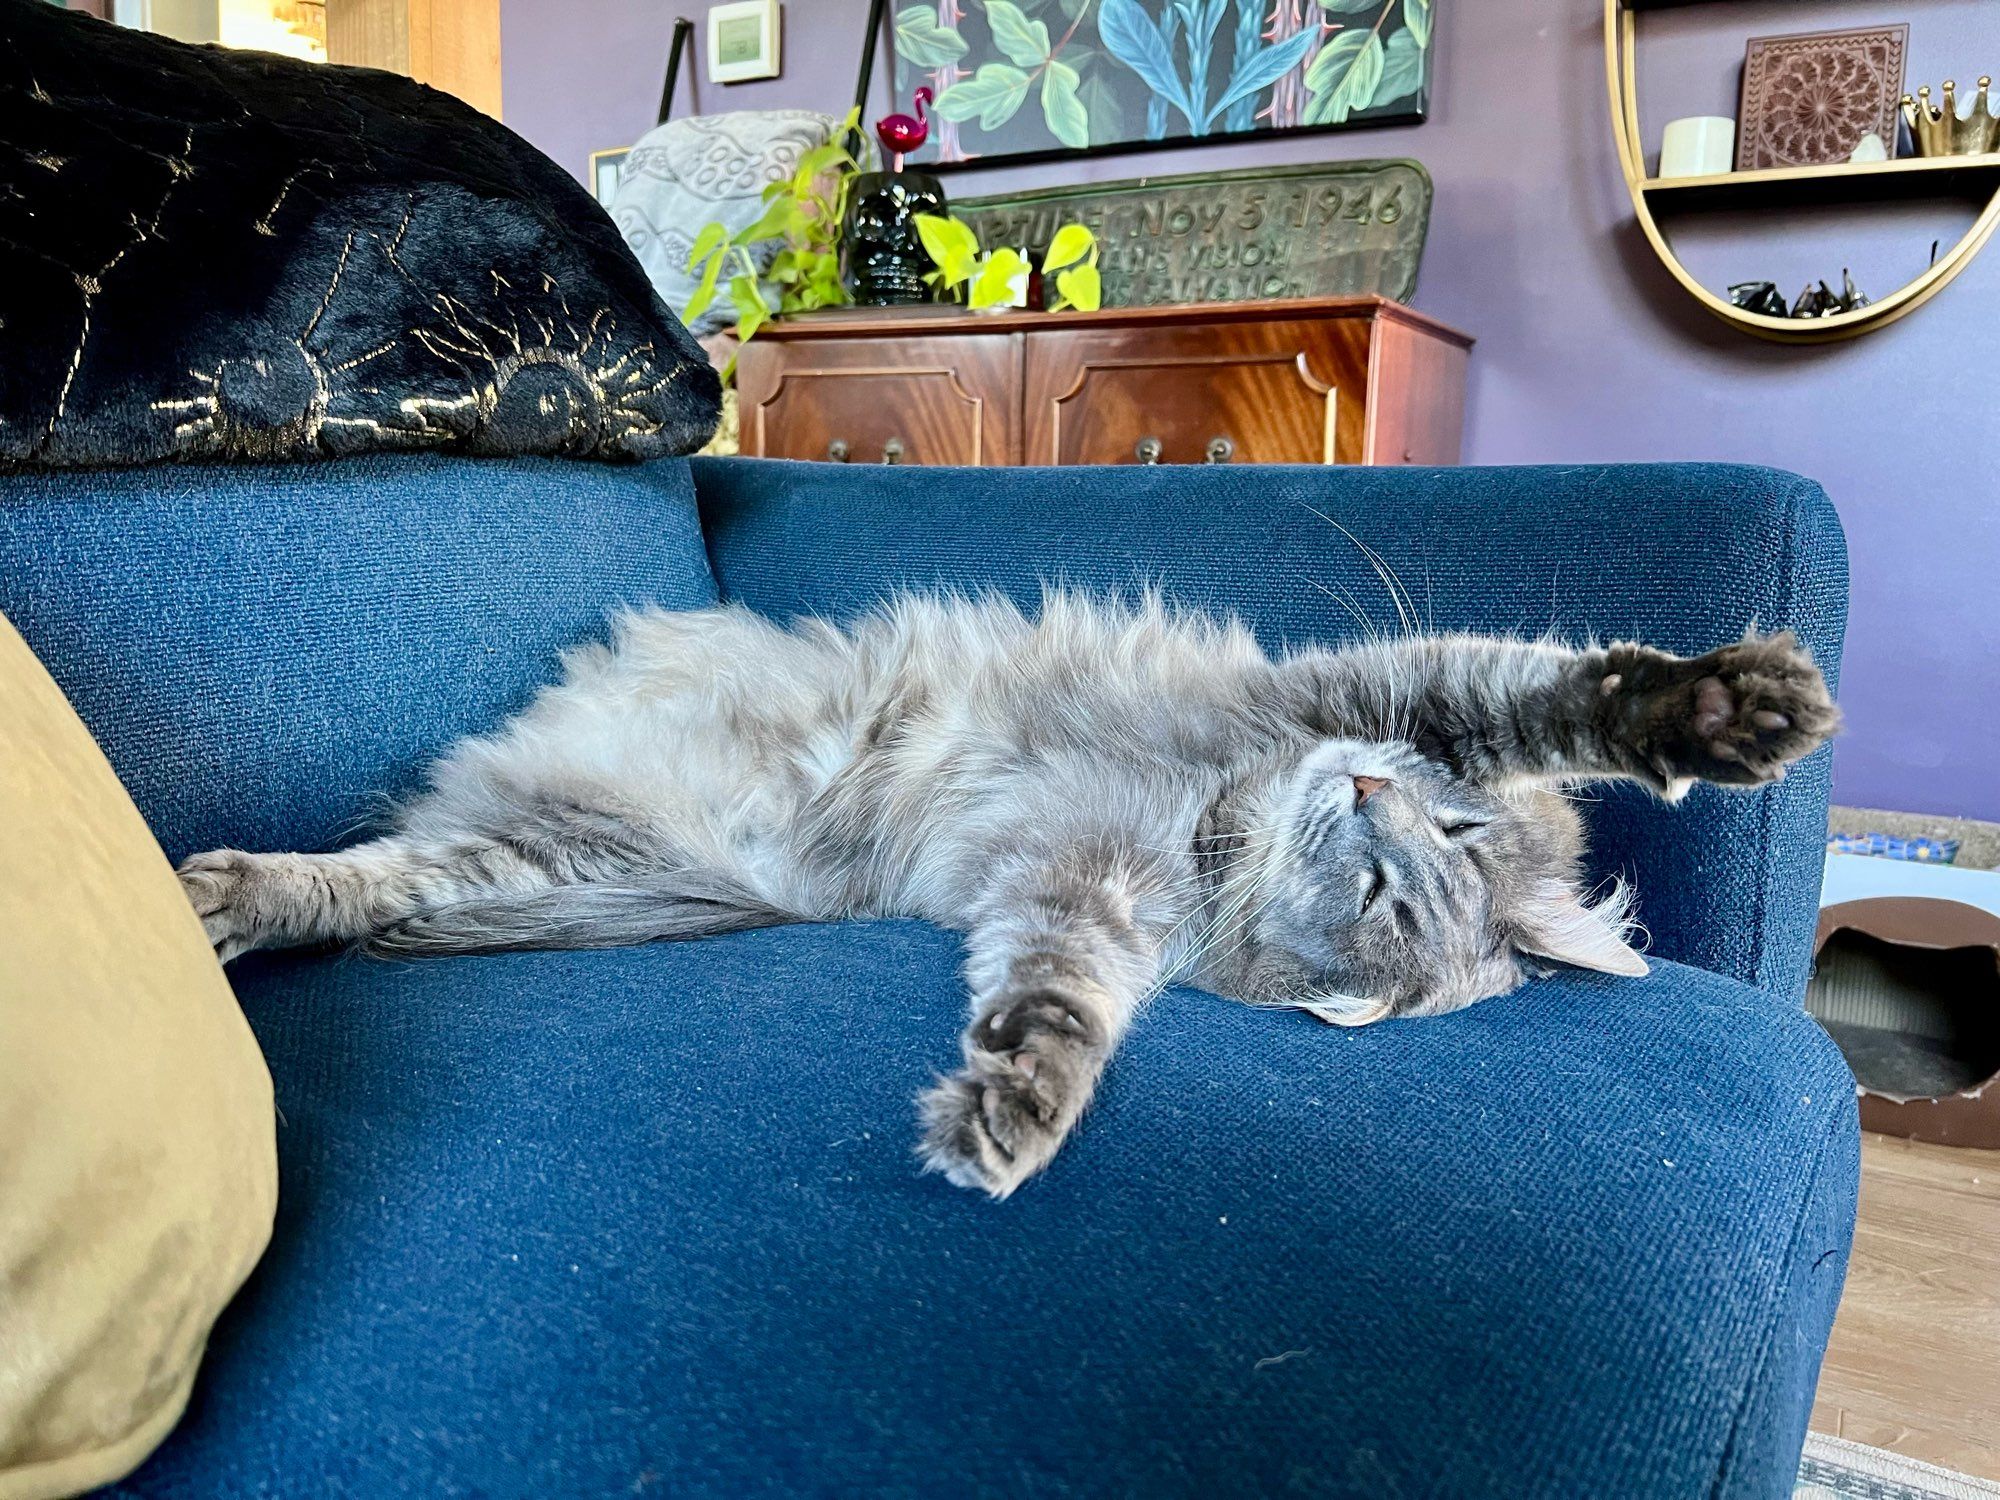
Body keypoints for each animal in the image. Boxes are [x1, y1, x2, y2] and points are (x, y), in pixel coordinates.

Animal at [180, 596, 1832, 1200]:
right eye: (1440, 821)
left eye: (1388, 890)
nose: (1365, 796)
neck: (1218, 815)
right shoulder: (1377, 690)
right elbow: (1564, 695)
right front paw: (1728, 710)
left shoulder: (1068, 895)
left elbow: (1057, 1010)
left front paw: (1010, 1107)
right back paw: (224, 891)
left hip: (550, 863)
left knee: (366, 884)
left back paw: (232, 902)